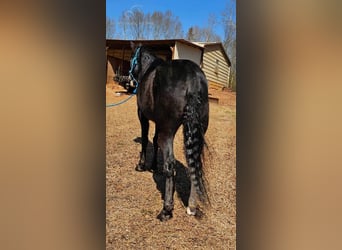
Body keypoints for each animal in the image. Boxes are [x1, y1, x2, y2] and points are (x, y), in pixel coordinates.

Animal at [128, 44, 208, 221]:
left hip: (168, 132)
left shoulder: (142, 115)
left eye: (131, 58)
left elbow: (146, 139)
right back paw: (192, 207)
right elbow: (154, 139)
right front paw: (153, 166)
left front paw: (141, 165)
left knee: (170, 165)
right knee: (194, 164)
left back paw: (166, 210)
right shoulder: (158, 123)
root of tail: (193, 78)